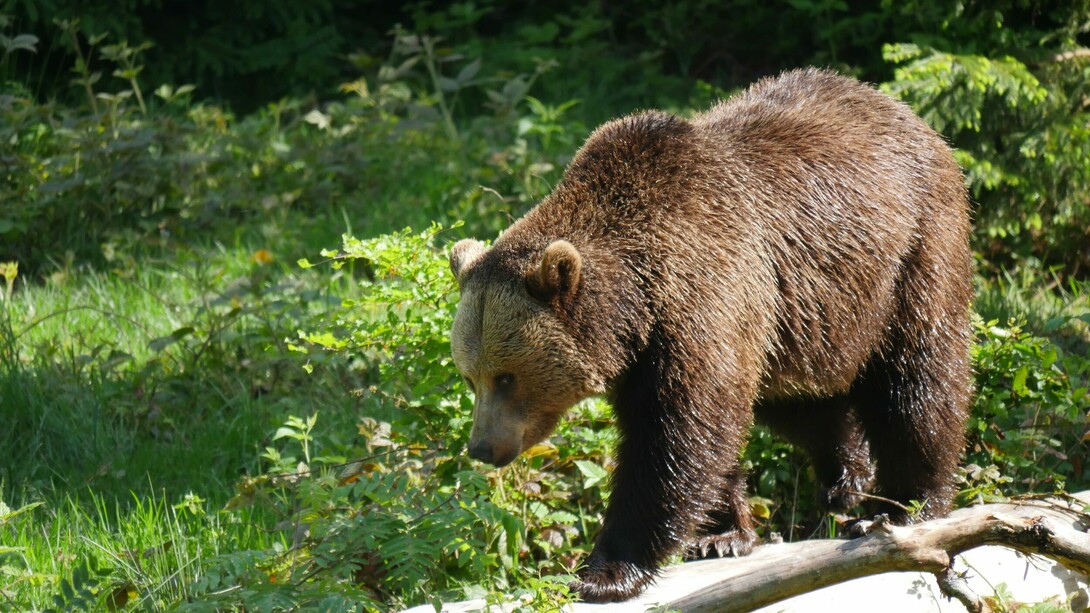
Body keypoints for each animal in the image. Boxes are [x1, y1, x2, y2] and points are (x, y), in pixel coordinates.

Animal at [447, 67, 972, 603]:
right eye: (470, 377)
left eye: (506, 377)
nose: (482, 448)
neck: (637, 299)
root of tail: (904, 111)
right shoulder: (659, 345)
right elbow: (701, 428)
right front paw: (721, 535)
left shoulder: (703, 295)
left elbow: (678, 435)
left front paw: (605, 570)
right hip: (799, 318)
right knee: (797, 399)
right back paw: (845, 478)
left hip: (910, 251)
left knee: (917, 381)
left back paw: (903, 506)